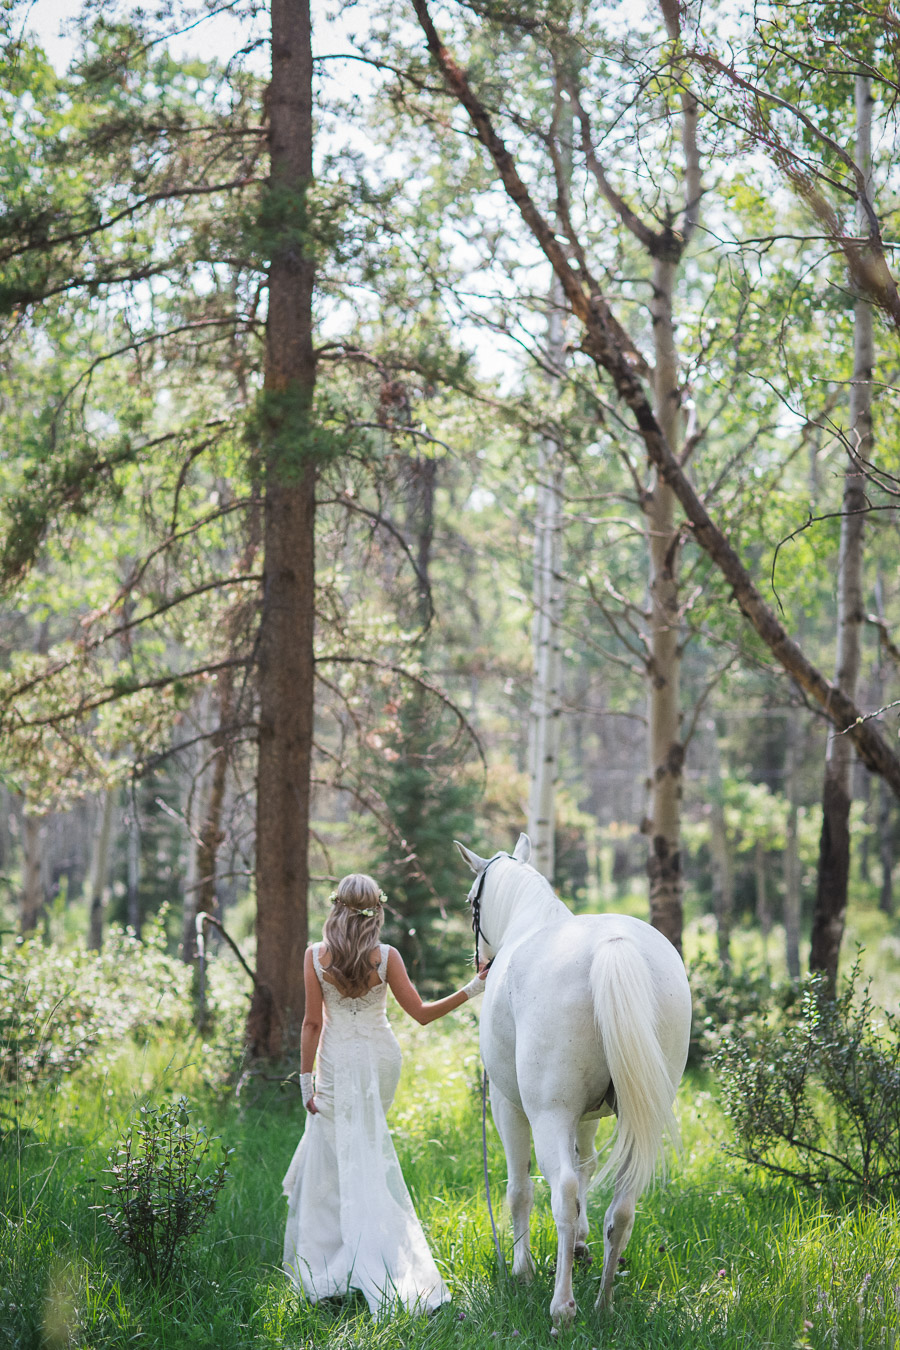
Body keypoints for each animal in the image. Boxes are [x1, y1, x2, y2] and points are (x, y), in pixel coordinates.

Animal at [458, 831, 690, 1328]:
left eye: (472, 902)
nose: (481, 965)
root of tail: (613, 946)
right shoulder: (588, 1117)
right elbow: (587, 1169)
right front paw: (581, 1244)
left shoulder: (509, 1106)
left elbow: (521, 1189)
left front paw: (523, 1270)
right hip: (637, 1114)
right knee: (622, 1206)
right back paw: (603, 1302)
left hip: (548, 1113)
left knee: (561, 1191)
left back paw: (562, 1308)